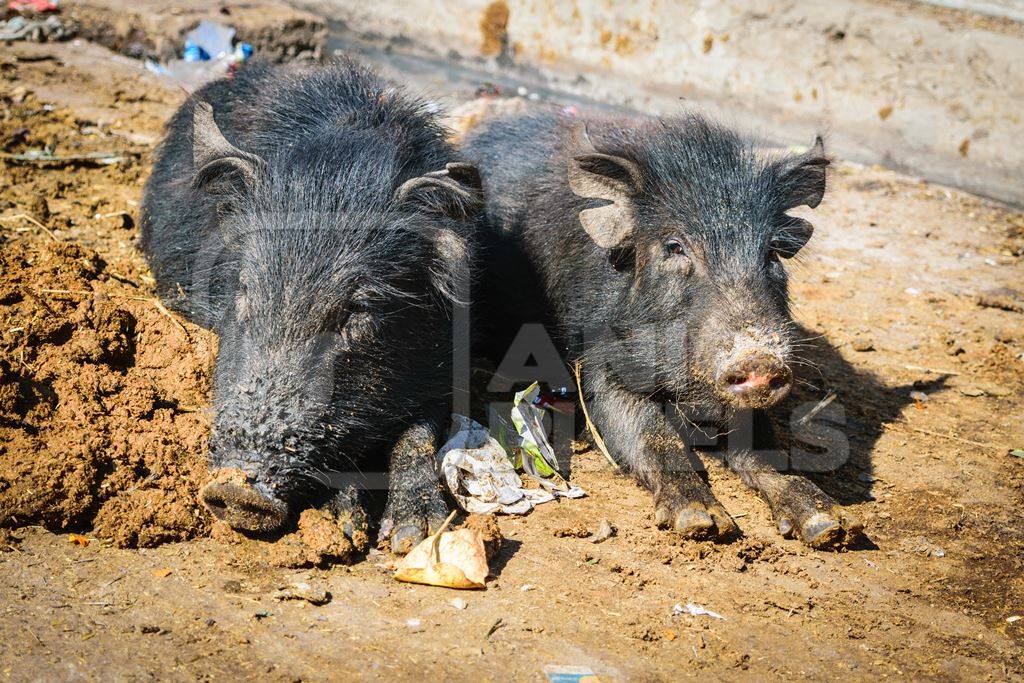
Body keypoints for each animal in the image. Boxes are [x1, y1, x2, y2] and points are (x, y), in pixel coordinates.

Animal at [140, 56, 483, 552]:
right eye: (244, 289)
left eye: (358, 309)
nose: (237, 491)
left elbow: (418, 433)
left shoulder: (443, 360)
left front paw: (410, 536)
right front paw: (346, 527)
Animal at [466, 113, 864, 548]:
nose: (758, 358)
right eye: (674, 246)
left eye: (771, 252)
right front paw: (701, 523)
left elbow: (765, 446)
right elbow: (652, 433)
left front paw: (829, 524)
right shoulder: (599, 368)